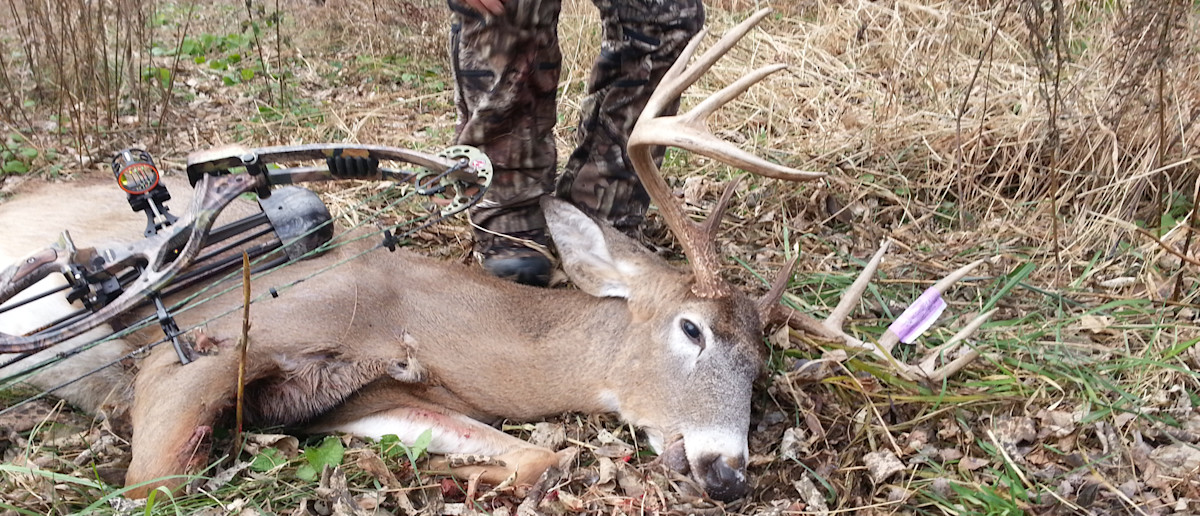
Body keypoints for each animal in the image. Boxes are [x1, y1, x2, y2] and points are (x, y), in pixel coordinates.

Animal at [0, 9, 994, 503]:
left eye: (765, 368)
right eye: (692, 330)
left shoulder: (356, 395)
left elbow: (530, 458)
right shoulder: (195, 353)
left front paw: (471, 475)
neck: (415, 315)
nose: (728, 474)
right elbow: (152, 486)